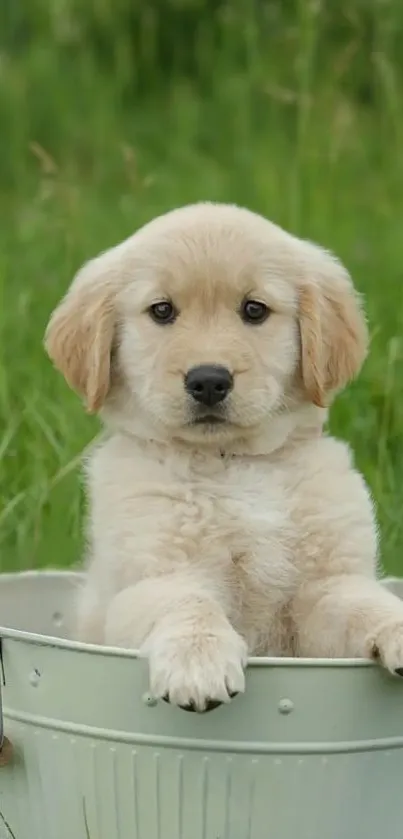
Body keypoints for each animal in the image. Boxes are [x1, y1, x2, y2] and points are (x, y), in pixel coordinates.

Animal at [45, 202, 403, 708]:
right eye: (162, 311)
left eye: (254, 309)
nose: (209, 380)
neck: (232, 463)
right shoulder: (153, 580)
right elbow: (189, 603)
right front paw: (199, 662)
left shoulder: (327, 587)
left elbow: (367, 603)